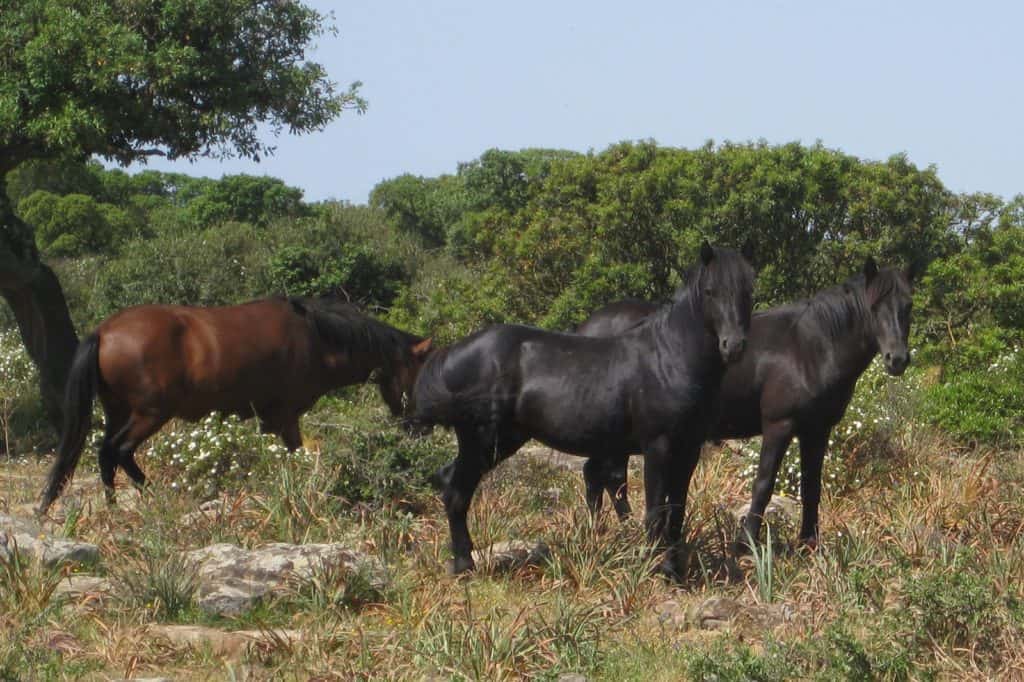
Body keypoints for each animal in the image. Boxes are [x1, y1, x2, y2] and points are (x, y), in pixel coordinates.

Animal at [37, 296, 433, 515]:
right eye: (419, 374)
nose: (421, 428)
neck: (318, 339)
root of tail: (105, 332)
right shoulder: (285, 417)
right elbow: (291, 455)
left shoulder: (269, 420)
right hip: (149, 415)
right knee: (118, 451)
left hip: (118, 411)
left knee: (105, 453)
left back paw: (113, 505)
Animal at [412, 243, 755, 575]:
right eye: (710, 291)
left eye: (748, 290)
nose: (734, 345)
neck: (669, 357)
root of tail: (453, 352)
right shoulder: (658, 447)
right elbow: (656, 511)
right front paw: (655, 568)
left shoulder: (689, 449)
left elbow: (676, 512)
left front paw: (674, 569)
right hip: (485, 442)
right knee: (456, 492)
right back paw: (463, 566)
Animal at [575, 257, 917, 551]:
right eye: (874, 305)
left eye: (908, 306)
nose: (897, 359)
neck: (811, 347)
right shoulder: (779, 425)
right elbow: (764, 484)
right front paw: (746, 543)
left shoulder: (817, 431)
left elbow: (812, 487)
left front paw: (809, 544)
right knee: (609, 477)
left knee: (598, 476)